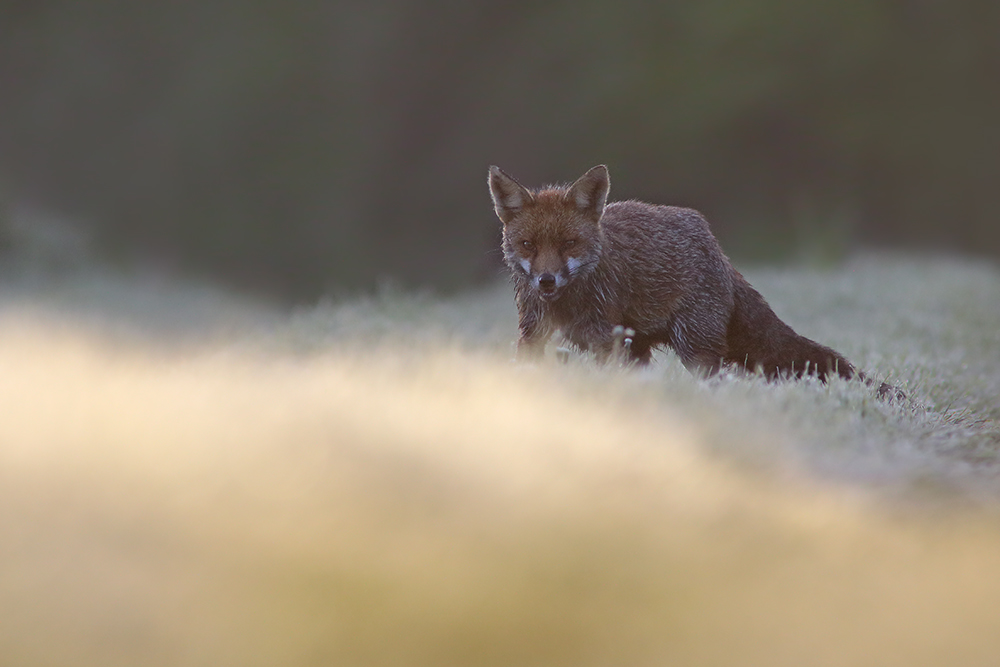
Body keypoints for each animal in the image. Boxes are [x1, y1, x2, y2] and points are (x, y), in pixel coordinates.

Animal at [490, 164, 900, 396]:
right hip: (642, 347)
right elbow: (526, 367)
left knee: (716, 380)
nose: (546, 281)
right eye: (528, 245)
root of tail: (718, 249)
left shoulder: (604, 337)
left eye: (568, 244)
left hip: (693, 346)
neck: (566, 304)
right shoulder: (534, 330)